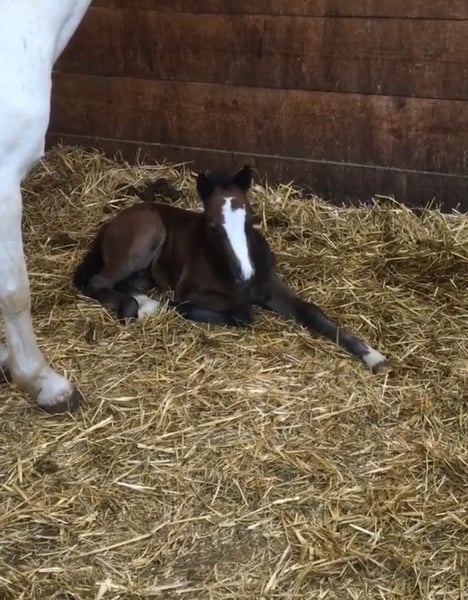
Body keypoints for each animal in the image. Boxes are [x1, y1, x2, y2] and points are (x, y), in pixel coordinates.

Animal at [73, 166, 389, 374]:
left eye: (250, 218)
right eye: (213, 227)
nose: (245, 274)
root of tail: (113, 221)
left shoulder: (272, 289)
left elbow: (312, 312)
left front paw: (373, 356)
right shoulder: (191, 290)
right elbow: (241, 311)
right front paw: (185, 309)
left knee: (125, 283)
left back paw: (146, 303)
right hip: (144, 240)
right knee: (99, 281)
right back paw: (133, 306)